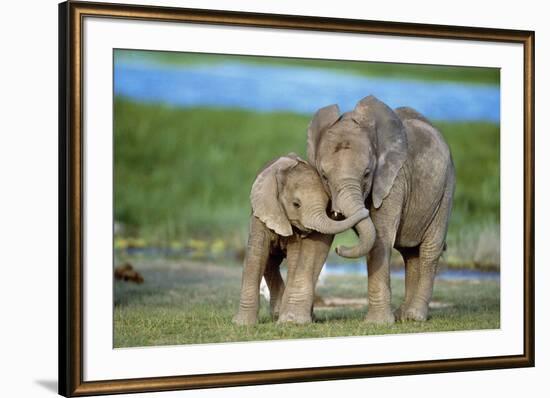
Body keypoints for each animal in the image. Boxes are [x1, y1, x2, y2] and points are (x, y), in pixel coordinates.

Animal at [234, 154, 370, 324]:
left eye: (327, 203)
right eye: (296, 204)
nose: (338, 248)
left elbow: (295, 257)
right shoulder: (263, 212)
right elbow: (257, 255)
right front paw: (242, 324)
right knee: (270, 262)